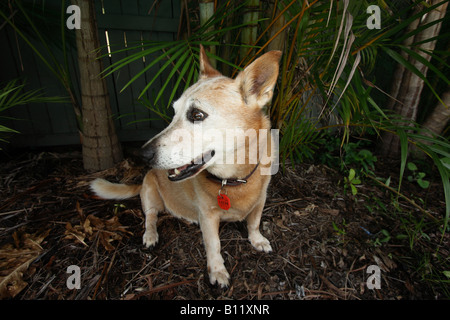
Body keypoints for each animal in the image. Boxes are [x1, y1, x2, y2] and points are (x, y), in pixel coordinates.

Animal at [90, 45, 282, 288]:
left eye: (196, 114)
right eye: (174, 113)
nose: (143, 155)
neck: (233, 179)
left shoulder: (261, 198)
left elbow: (254, 221)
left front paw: (257, 240)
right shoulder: (208, 215)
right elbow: (214, 244)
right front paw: (217, 271)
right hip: (150, 193)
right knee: (150, 216)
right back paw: (151, 235)